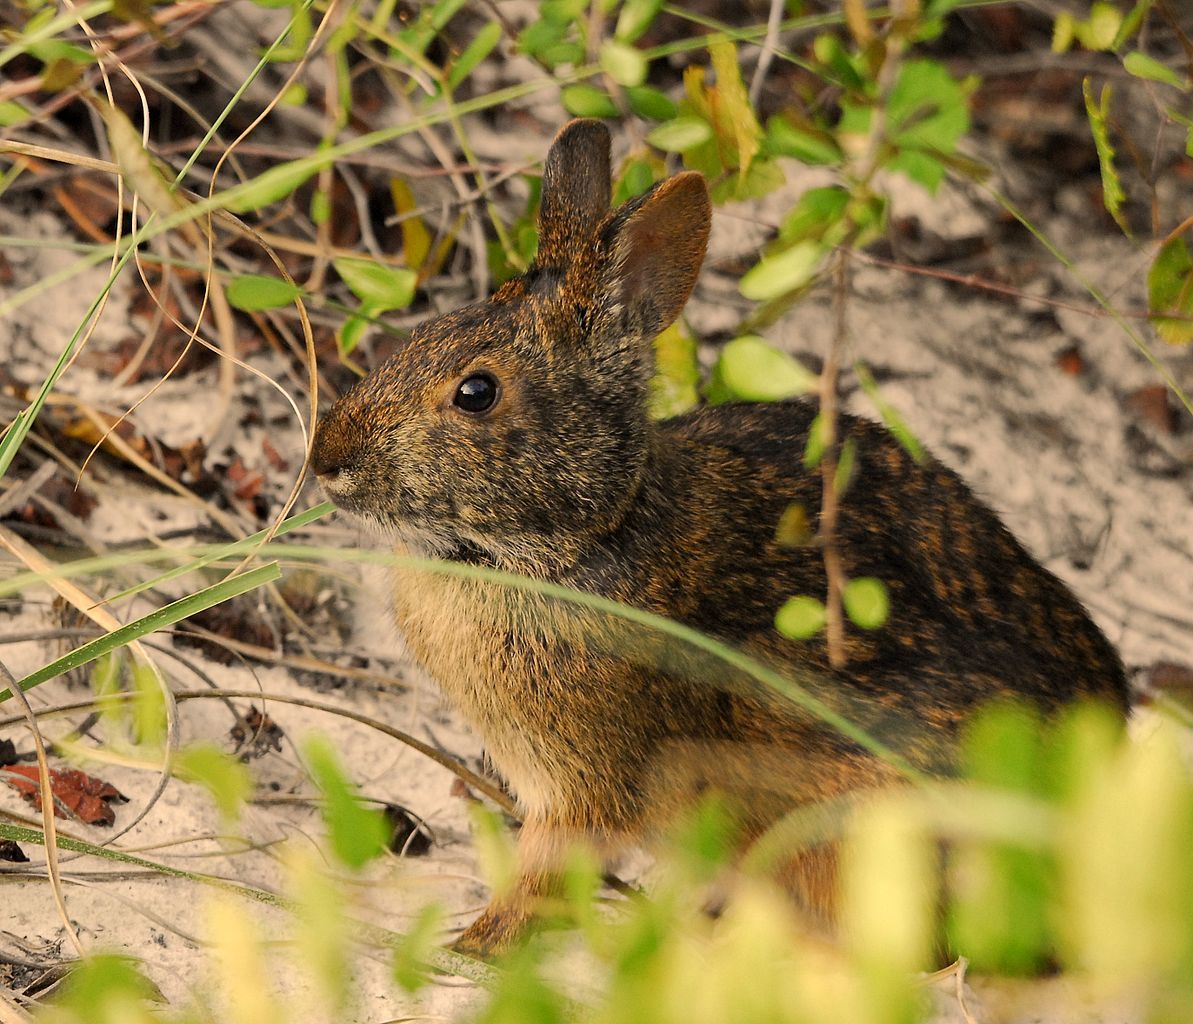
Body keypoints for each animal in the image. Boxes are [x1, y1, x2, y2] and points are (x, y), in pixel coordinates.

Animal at [310, 119, 1129, 956]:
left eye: (476, 392)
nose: (326, 460)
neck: (583, 538)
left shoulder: (585, 782)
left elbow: (547, 870)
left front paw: (471, 948)